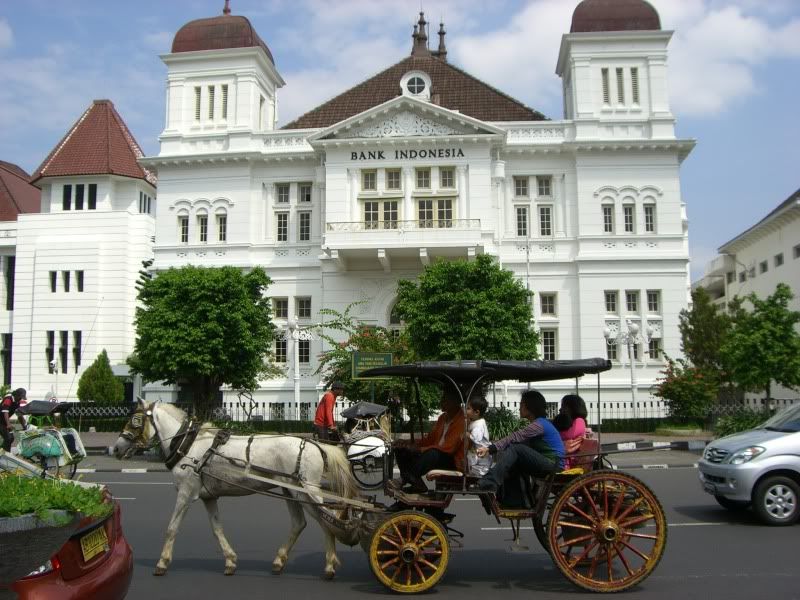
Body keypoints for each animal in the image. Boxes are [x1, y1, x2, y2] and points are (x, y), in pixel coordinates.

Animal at [112, 400, 362, 580]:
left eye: (135, 420)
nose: (116, 448)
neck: (188, 446)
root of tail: (316, 444)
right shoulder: (208, 497)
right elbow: (217, 529)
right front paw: (230, 561)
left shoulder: (185, 492)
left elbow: (172, 528)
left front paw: (162, 563)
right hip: (291, 491)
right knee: (301, 523)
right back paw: (279, 561)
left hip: (306, 490)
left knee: (327, 520)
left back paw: (329, 565)